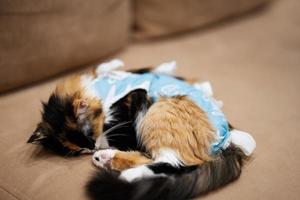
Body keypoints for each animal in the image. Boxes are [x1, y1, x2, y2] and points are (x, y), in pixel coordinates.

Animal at [27, 59, 255, 200]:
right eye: (80, 150)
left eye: (90, 135)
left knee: (174, 164)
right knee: (161, 161)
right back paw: (105, 159)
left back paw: (121, 173)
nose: (91, 148)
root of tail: (226, 141)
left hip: (159, 113)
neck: (100, 90)